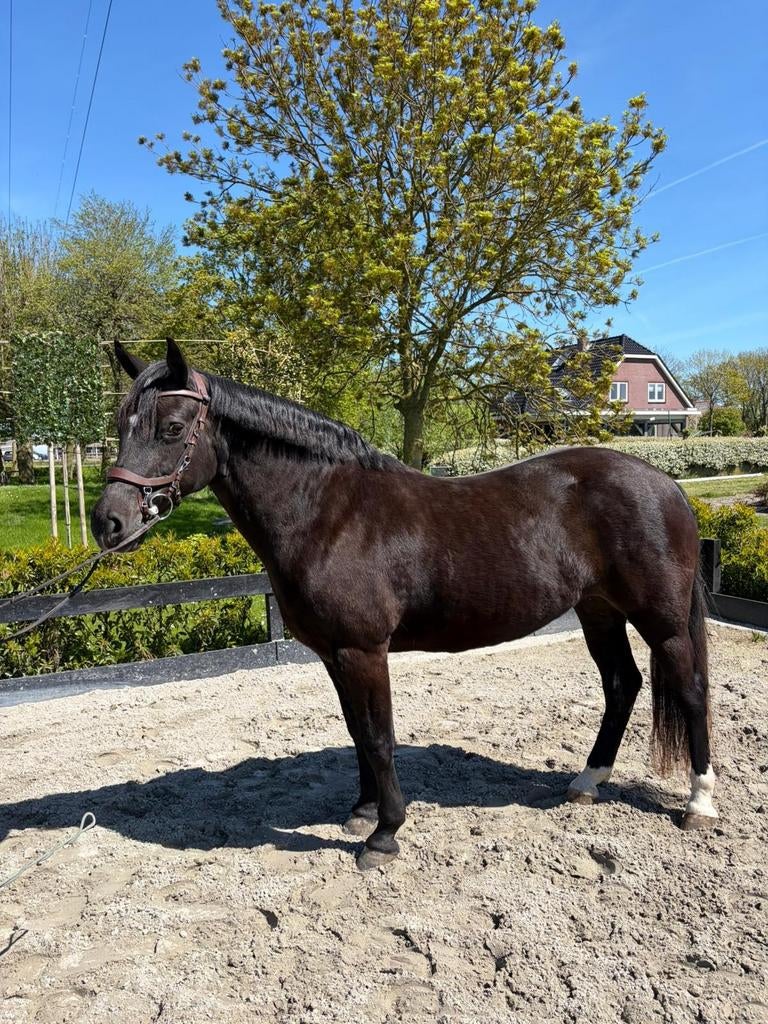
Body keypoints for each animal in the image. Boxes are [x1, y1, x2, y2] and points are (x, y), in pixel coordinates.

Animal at [92, 339, 717, 870]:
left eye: (173, 427)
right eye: (121, 425)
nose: (108, 522)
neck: (328, 512)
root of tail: (664, 482)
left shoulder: (363, 650)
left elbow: (377, 735)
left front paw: (384, 834)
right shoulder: (336, 654)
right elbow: (355, 731)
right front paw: (362, 811)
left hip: (661, 621)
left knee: (688, 690)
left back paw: (699, 804)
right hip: (599, 611)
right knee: (621, 683)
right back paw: (587, 782)